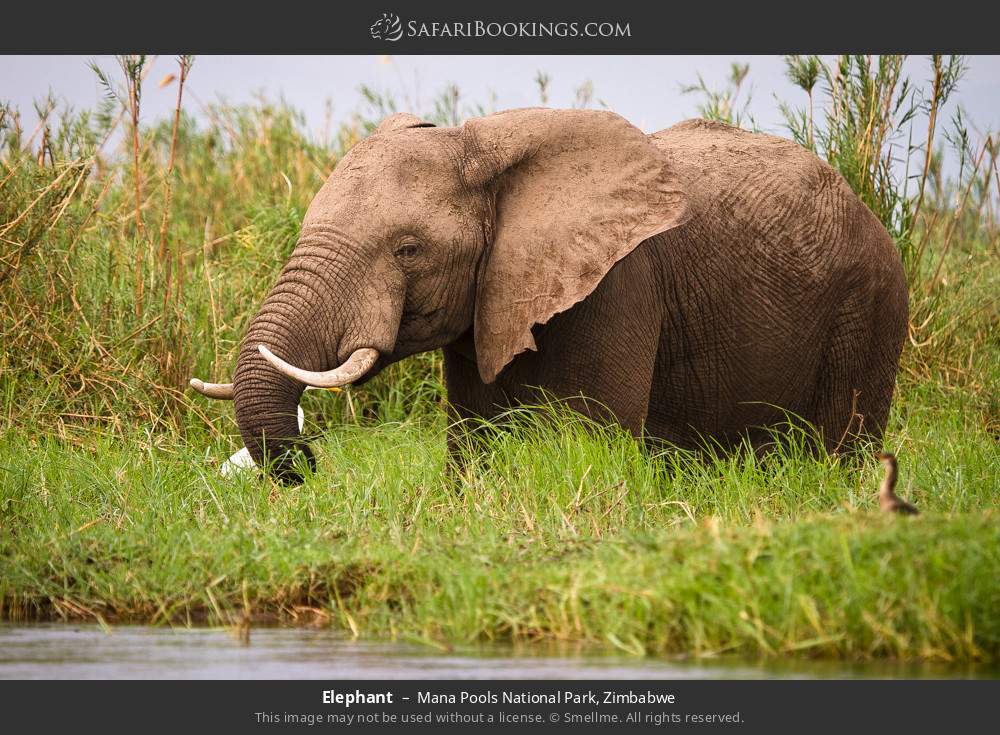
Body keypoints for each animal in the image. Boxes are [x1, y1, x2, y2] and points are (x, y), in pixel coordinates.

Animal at [190, 108, 908, 483]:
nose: (309, 461)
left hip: (870, 309)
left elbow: (595, 439)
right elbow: (474, 444)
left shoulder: (618, 286)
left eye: (408, 250)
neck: (483, 141)